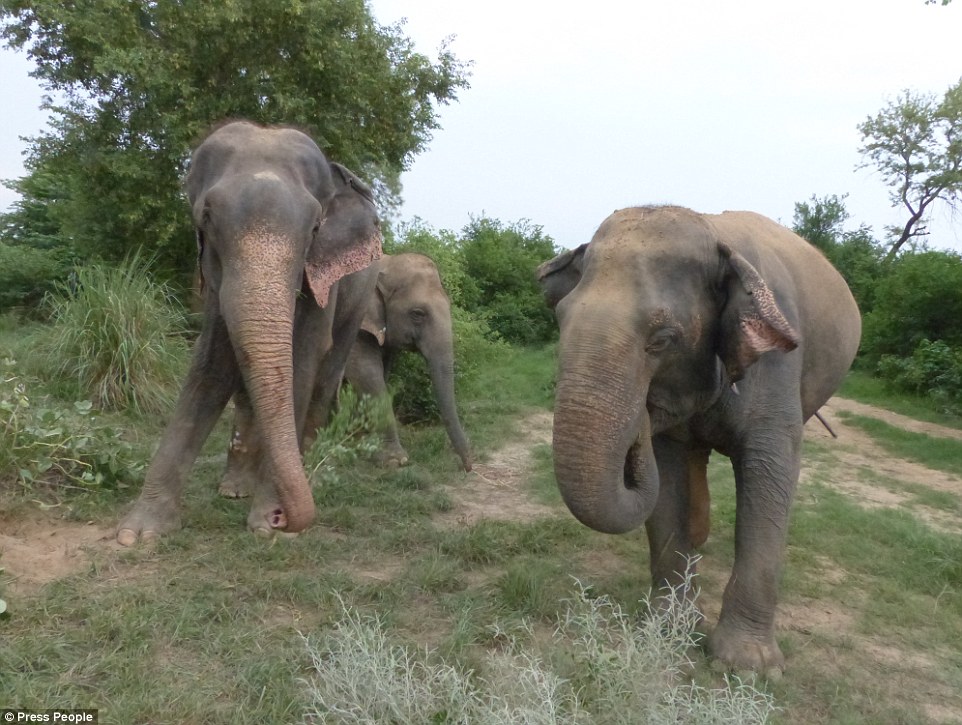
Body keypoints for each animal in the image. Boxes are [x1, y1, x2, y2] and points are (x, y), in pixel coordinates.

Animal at [115, 120, 378, 544]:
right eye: (206, 217)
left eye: (315, 227)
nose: (282, 517)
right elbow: (212, 364)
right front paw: (138, 533)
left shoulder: (323, 278)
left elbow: (302, 360)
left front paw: (266, 525)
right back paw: (236, 489)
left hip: (361, 296)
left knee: (325, 378)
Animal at [536, 204, 860, 672]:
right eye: (560, 319)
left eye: (662, 340)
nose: (642, 417)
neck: (714, 234)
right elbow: (669, 477)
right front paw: (669, 629)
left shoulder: (778, 368)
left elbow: (771, 472)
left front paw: (747, 667)